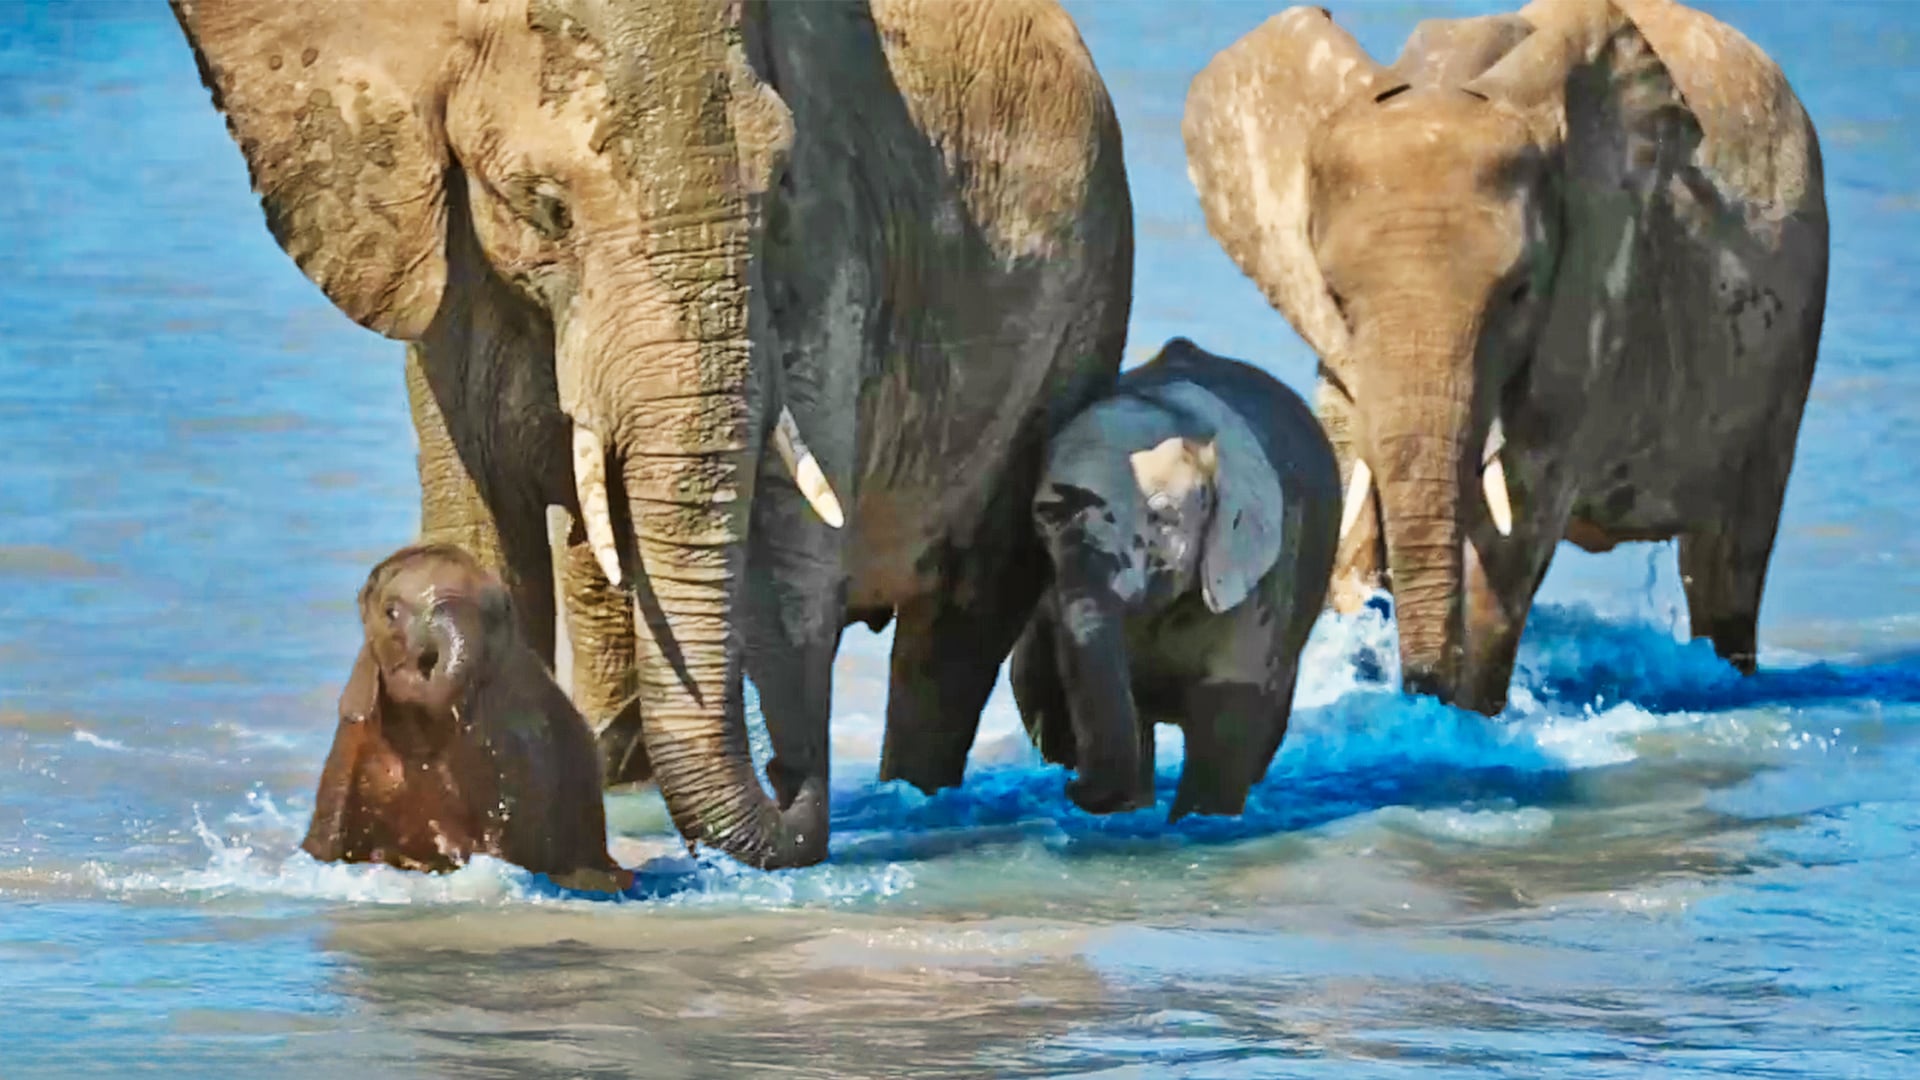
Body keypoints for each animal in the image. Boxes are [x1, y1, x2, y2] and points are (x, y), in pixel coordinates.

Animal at [1010, 338, 1340, 820]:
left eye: (1163, 517)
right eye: (1042, 523)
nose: (1071, 784)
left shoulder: (1263, 574)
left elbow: (1227, 724)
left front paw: (1199, 821)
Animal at [1183, 0, 1827, 714]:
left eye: (1519, 293)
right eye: (1337, 298)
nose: (1419, 688)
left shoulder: (1593, 291)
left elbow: (1516, 524)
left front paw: (1463, 718)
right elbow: (1352, 485)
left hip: (1789, 351)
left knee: (1730, 560)